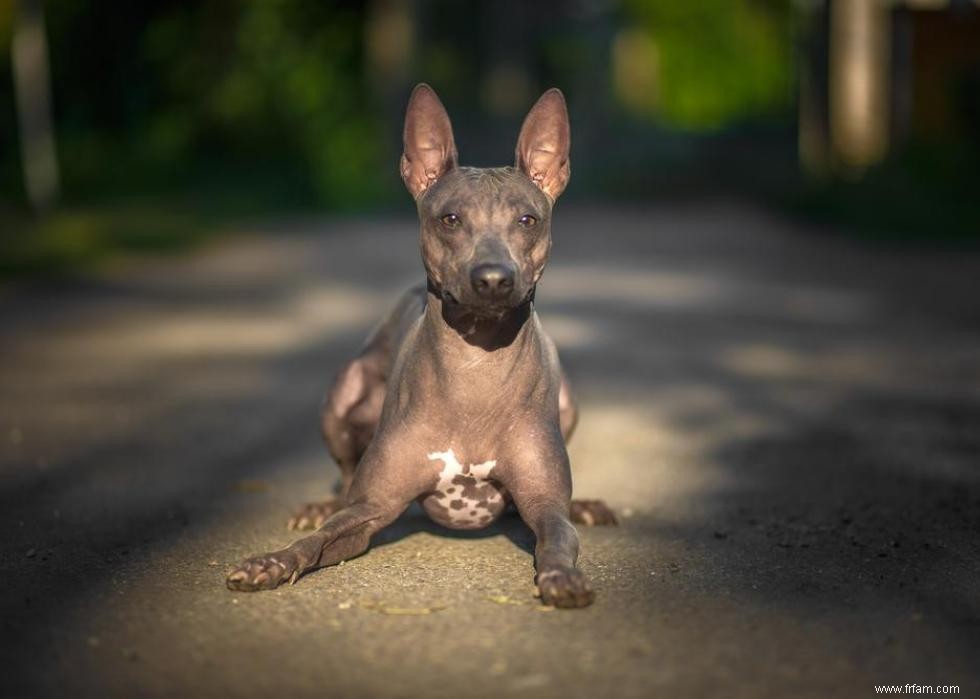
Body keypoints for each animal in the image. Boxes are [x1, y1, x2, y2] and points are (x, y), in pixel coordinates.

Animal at [226, 80, 616, 608]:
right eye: (450, 218)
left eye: (527, 220)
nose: (493, 280)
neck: (475, 369)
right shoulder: (371, 506)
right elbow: (318, 539)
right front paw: (269, 562)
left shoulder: (544, 504)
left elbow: (556, 538)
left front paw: (563, 577)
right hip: (344, 390)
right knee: (343, 478)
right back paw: (319, 503)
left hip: (568, 402)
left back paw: (588, 505)